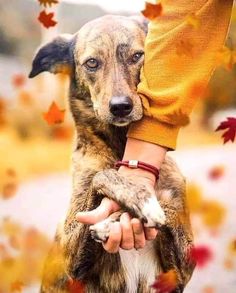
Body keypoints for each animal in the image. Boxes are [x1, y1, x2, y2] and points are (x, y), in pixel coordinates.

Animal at [29, 14, 195, 292]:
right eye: (92, 63)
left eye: (137, 56)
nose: (120, 107)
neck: (120, 147)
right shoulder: (68, 258)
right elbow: (103, 175)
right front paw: (137, 199)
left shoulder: (181, 270)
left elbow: (169, 212)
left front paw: (115, 220)